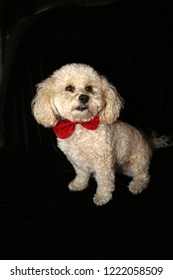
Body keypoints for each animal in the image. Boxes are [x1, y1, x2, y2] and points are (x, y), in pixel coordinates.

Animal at [31, 64, 169, 207]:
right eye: (69, 88)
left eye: (89, 88)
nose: (84, 97)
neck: (80, 126)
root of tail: (150, 143)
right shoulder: (76, 160)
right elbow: (81, 173)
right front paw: (79, 184)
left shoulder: (103, 163)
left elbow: (104, 182)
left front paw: (102, 197)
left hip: (137, 163)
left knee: (144, 176)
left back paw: (137, 185)